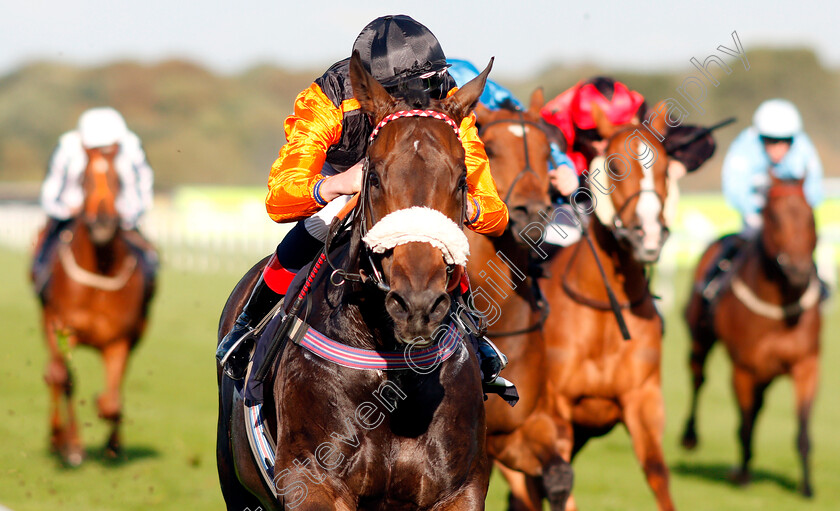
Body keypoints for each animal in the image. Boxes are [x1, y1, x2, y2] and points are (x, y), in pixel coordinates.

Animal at [32, 145, 154, 468]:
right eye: (82, 179)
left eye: (118, 179)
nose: (102, 222)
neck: (99, 272)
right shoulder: (62, 327)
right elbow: (63, 379)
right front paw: (71, 445)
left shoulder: (118, 340)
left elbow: (111, 400)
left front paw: (110, 437)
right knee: (56, 378)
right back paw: (59, 440)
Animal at [536, 103, 680, 511]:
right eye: (616, 166)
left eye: (666, 166)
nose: (648, 234)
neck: (604, 309)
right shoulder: (554, 410)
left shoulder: (643, 401)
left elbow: (658, 474)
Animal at [684, 178, 820, 498]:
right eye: (773, 217)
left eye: (810, 215)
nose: (798, 270)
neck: (781, 308)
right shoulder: (744, 368)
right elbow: (744, 424)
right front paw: (744, 476)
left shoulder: (806, 364)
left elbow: (803, 429)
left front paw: (806, 486)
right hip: (700, 339)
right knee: (698, 378)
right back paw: (691, 437)